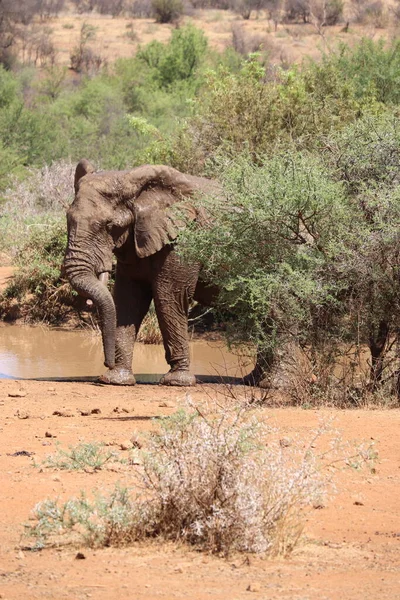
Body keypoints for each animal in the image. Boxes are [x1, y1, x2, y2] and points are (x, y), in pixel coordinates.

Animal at [64, 159, 268, 386]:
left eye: (110, 225)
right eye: (67, 218)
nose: (106, 363)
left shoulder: (183, 240)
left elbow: (168, 298)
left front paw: (177, 381)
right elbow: (128, 300)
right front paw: (116, 379)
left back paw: (266, 383)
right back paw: (255, 380)